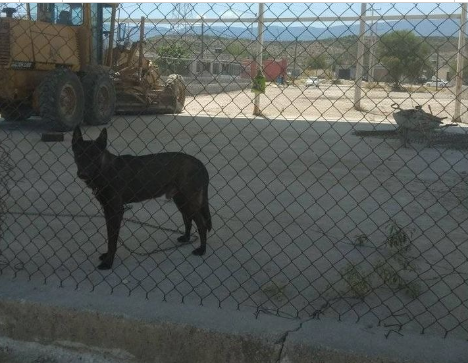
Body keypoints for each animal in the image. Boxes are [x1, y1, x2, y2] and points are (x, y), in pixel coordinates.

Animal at [71, 128, 212, 270]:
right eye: (78, 154)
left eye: (95, 156)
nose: (83, 174)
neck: (105, 170)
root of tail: (199, 163)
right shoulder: (108, 211)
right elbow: (110, 236)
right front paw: (107, 256)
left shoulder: (117, 211)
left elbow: (112, 240)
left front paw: (108, 262)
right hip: (181, 201)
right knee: (188, 219)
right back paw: (186, 238)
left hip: (189, 200)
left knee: (202, 224)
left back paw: (202, 249)